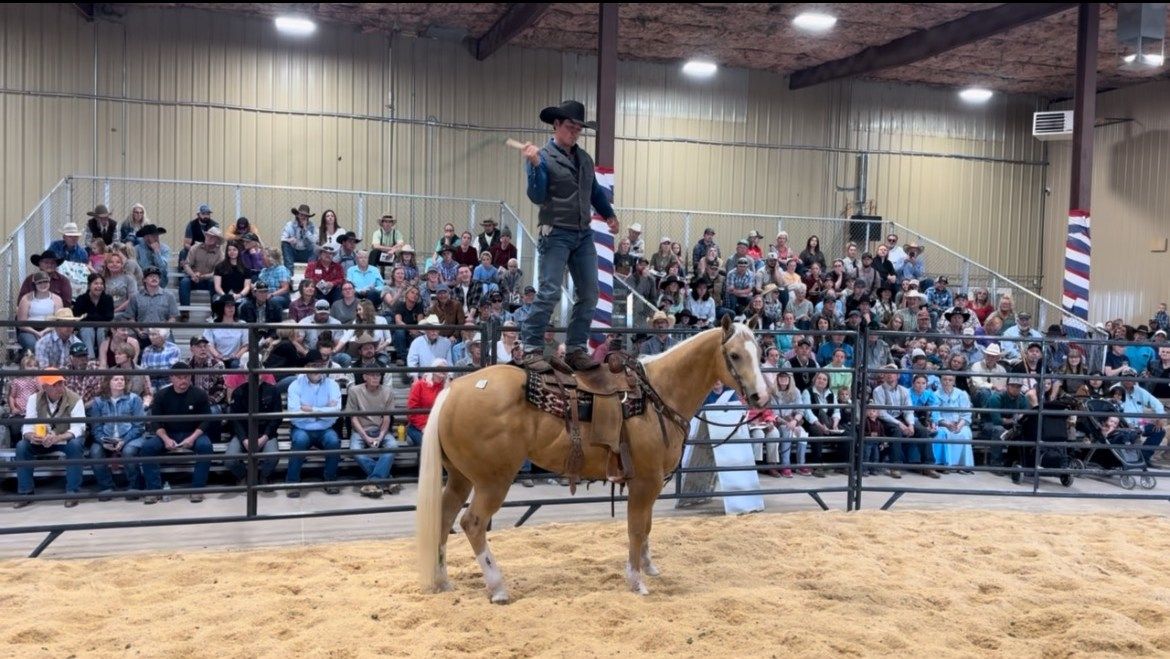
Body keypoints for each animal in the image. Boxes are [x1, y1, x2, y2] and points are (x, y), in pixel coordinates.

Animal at [416, 316, 772, 599]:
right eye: (734, 355)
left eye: (758, 354)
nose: (761, 397)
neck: (657, 393)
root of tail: (454, 390)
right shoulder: (645, 482)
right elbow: (636, 528)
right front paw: (636, 581)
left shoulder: (651, 484)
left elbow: (648, 525)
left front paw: (649, 566)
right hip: (493, 481)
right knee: (472, 523)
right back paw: (498, 586)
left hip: (460, 478)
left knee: (443, 519)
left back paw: (442, 581)